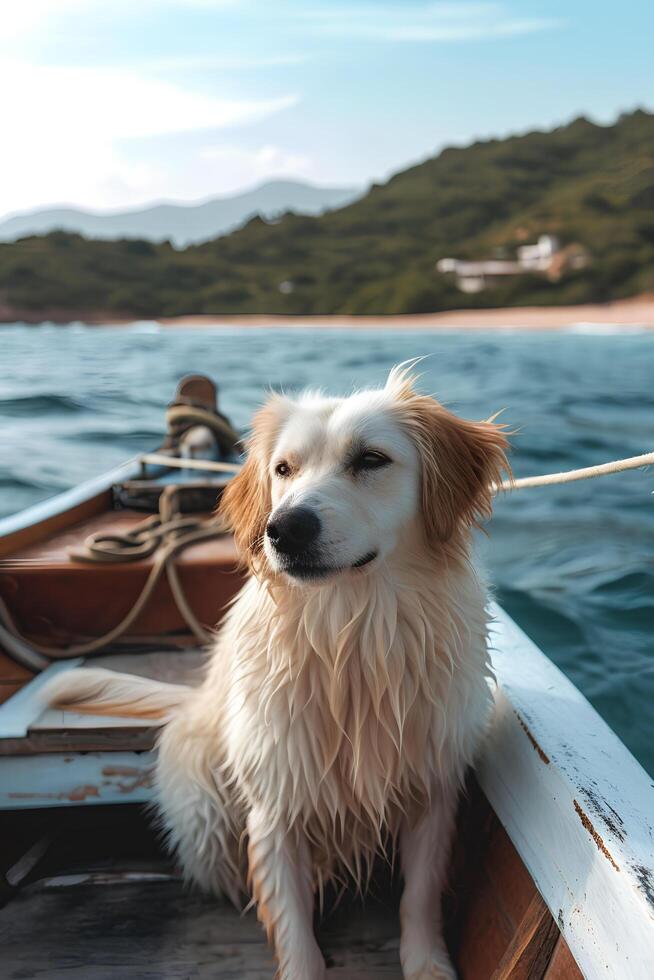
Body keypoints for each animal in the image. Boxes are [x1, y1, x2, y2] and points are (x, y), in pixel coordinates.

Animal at [44, 368, 512, 980]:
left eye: (371, 459)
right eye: (283, 469)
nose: (283, 529)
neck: (350, 636)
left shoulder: (432, 786)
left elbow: (421, 894)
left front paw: (427, 963)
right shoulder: (274, 805)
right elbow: (291, 925)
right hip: (205, 811)